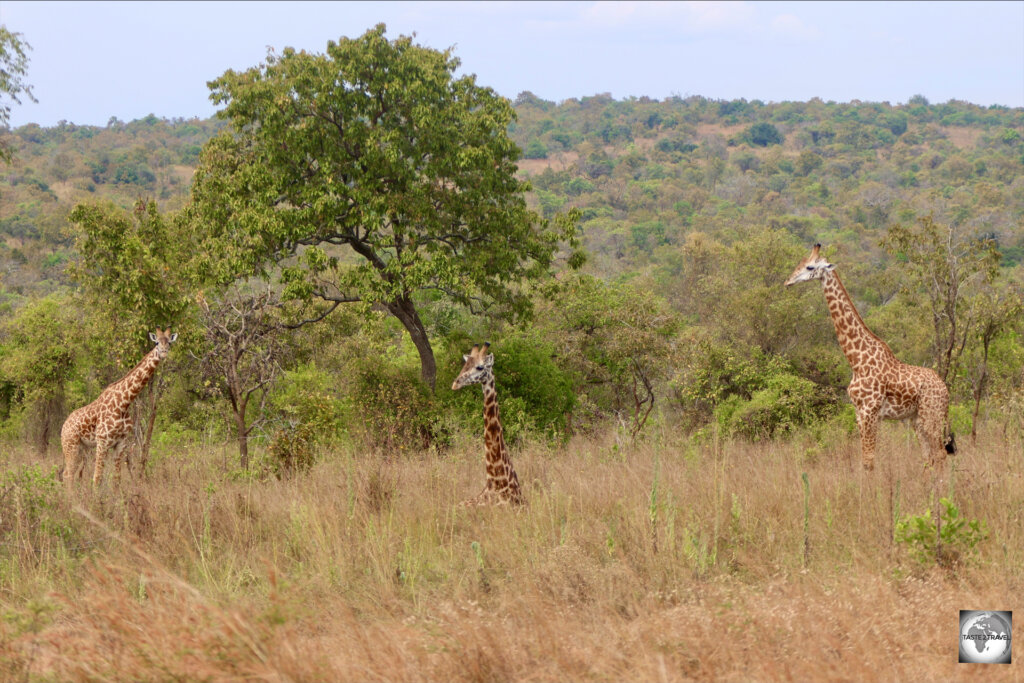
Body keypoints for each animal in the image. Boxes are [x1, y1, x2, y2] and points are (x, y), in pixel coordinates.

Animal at [59, 327, 177, 489]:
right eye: (157, 342)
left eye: (169, 342)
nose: (164, 352)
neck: (124, 403)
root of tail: (63, 426)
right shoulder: (102, 442)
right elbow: (97, 479)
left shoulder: (121, 443)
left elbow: (116, 480)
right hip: (71, 445)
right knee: (68, 475)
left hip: (82, 448)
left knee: (70, 474)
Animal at [786, 242, 954, 473]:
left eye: (810, 267)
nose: (788, 281)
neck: (856, 359)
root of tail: (945, 390)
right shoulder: (859, 413)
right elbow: (865, 460)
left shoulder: (870, 412)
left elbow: (869, 461)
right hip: (917, 419)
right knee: (929, 457)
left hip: (932, 415)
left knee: (940, 454)